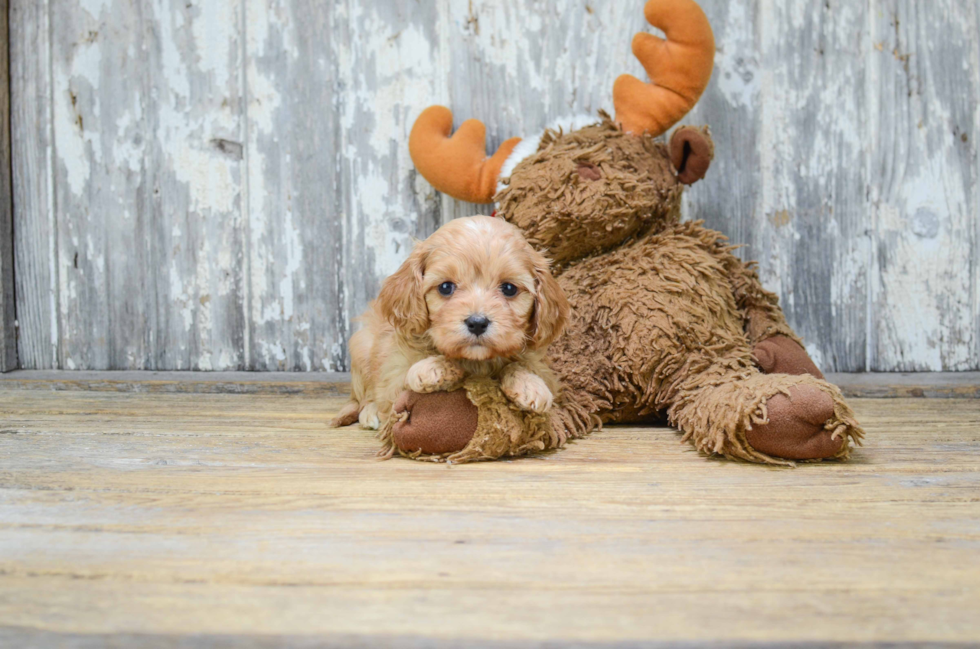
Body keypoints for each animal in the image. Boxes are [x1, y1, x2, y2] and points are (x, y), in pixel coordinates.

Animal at [334, 216, 572, 430]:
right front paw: (432, 368)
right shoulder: (393, 374)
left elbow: (521, 366)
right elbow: (405, 381)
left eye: (509, 288)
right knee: (362, 397)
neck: (477, 360)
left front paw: (529, 384)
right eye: (446, 287)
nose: (477, 323)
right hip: (362, 347)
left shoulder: (544, 369)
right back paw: (369, 413)